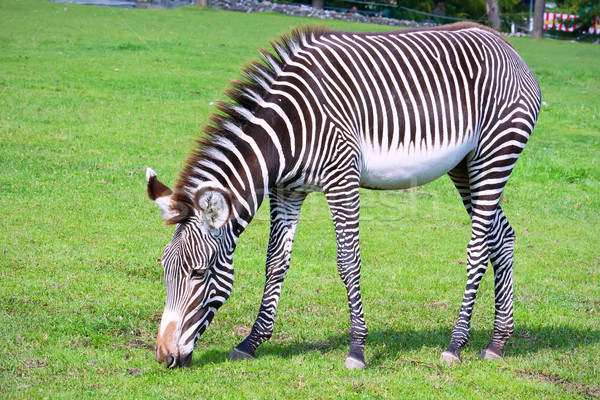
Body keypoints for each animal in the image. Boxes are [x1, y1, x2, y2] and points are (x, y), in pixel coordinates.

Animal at [146, 23, 544, 368]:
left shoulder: (342, 179)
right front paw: (251, 342)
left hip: (495, 153)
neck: (287, 132)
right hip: (465, 165)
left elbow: (348, 262)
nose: (164, 357)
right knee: (502, 236)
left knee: (478, 247)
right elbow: (275, 262)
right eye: (164, 268)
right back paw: (497, 343)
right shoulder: (287, 190)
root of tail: (504, 43)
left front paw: (357, 348)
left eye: (198, 273)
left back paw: (456, 344)